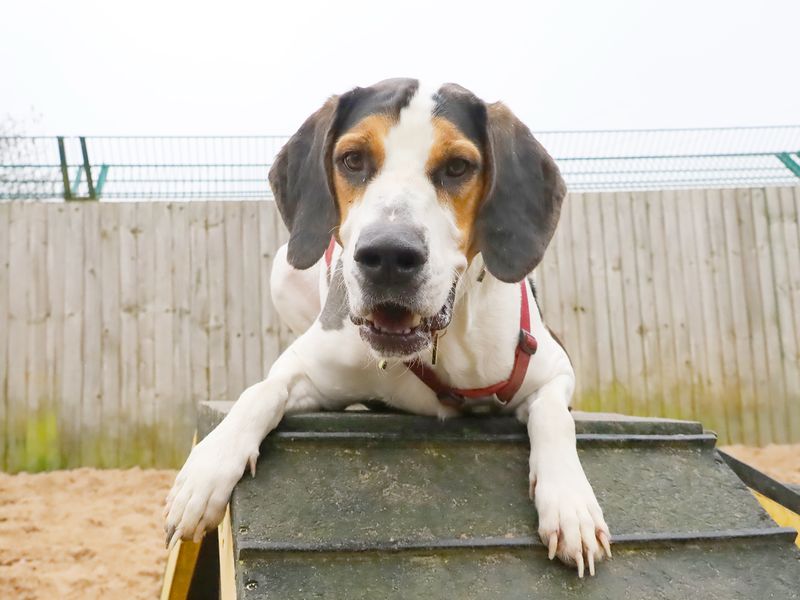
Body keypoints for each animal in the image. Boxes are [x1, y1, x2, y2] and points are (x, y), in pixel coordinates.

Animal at [164, 79, 612, 576]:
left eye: (458, 167)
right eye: (353, 160)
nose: (388, 256)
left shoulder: (551, 369)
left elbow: (555, 419)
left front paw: (570, 503)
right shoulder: (306, 368)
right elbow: (259, 391)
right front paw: (208, 468)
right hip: (283, 269)